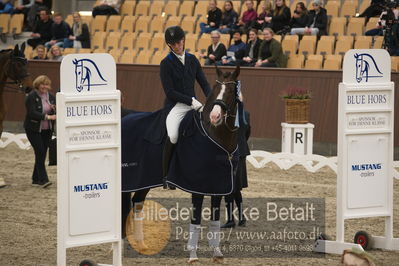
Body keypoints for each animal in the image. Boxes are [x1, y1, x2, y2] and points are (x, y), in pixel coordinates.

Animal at [122, 65, 242, 262]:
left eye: (231, 91)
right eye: (216, 89)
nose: (215, 116)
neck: (215, 136)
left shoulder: (218, 186)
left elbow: (215, 221)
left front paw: (217, 253)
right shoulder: (197, 187)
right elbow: (196, 221)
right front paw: (192, 255)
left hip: (144, 181)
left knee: (137, 203)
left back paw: (140, 244)